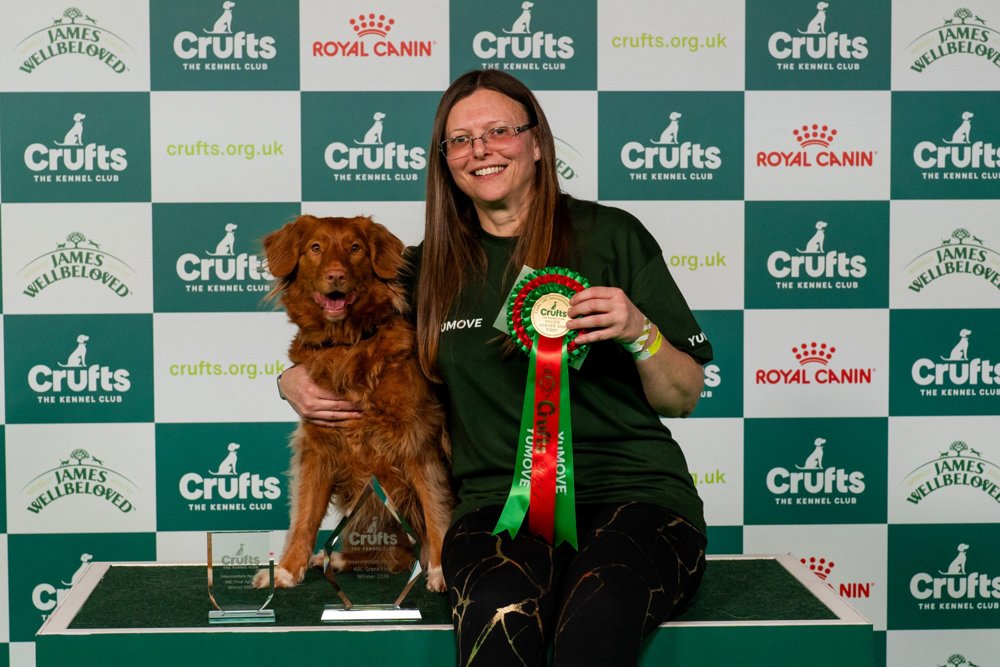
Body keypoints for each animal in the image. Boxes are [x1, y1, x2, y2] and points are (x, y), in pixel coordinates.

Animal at [254, 213, 454, 588]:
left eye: (355, 248)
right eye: (315, 248)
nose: (336, 275)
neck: (347, 344)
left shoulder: (418, 439)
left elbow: (435, 506)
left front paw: (440, 570)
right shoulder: (318, 446)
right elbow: (304, 516)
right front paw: (286, 570)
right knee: (396, 555)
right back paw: (338, 558)